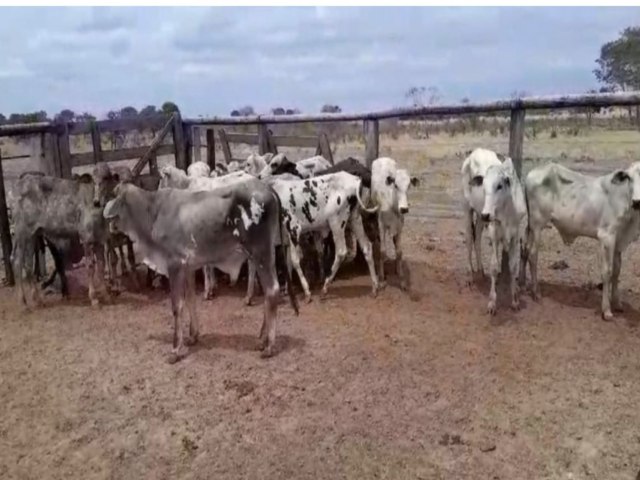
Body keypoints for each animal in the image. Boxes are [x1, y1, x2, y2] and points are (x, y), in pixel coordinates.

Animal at [103, 178, 300, 362]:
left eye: (113, 195)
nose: (108, 224)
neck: (152, 212)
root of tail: (267, 187)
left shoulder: (175, 264)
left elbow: (177, 306)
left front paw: (175, 349)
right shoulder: (188, 267)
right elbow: (191, 300)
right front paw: (193, 336)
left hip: (261, 253)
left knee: (272, 289)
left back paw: (269, 346)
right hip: (264, 255)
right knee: (268, 292)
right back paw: (262, 339)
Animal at [370, 158, 420, 292]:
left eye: (408, 185)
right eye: (396, 185)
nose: (404, 209)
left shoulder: (400, 226)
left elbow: (399, 251)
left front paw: (401, 278)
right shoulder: (381, 225)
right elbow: (382, 251)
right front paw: (382, 279)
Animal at [462, 149, 528, 316]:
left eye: (499, 185)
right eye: (484, 187)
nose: (487, 214)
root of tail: (475, 151)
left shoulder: (515, 235)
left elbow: (513, 267)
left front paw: (515, 300)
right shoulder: (494, 233)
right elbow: (494, 267)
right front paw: (492, 302)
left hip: (479, 216)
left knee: (477, 238)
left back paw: (480, 271)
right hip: (468, 209)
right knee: (469, 239)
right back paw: (469, 275)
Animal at [524, 162, 640, 322]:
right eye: (630, 178)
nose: (637, 202)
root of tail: (533, 172)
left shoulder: (618, 241)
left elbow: (617, 271)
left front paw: (617, 303)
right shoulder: (607, 237)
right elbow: (607, 272)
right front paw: (606, 310)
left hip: (531, 227)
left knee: (525, 249)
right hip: (537, 224)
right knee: (532, 254)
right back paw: (536, 292)